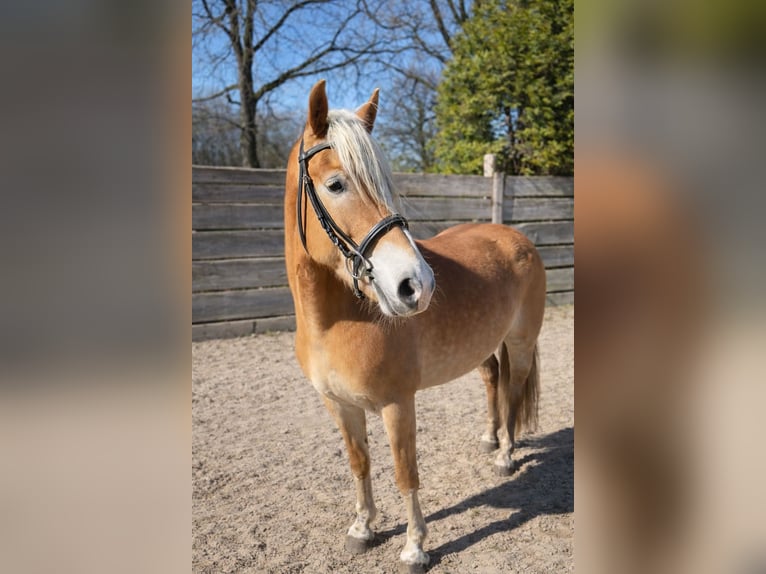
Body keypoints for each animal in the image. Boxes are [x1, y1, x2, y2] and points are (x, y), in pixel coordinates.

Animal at [284, 80, 546, 572]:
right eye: (335, 184)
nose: (416, 286)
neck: (334, 321)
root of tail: (515, 236)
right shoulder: (339, 405)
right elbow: (360, 464)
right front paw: (363, 528)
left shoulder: (397, 404)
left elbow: (406, 473)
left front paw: (414, 547)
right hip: (485, 346)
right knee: (492, 380)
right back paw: (489, 438)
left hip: (520, 343)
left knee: (513, 392)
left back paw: (505, 454)